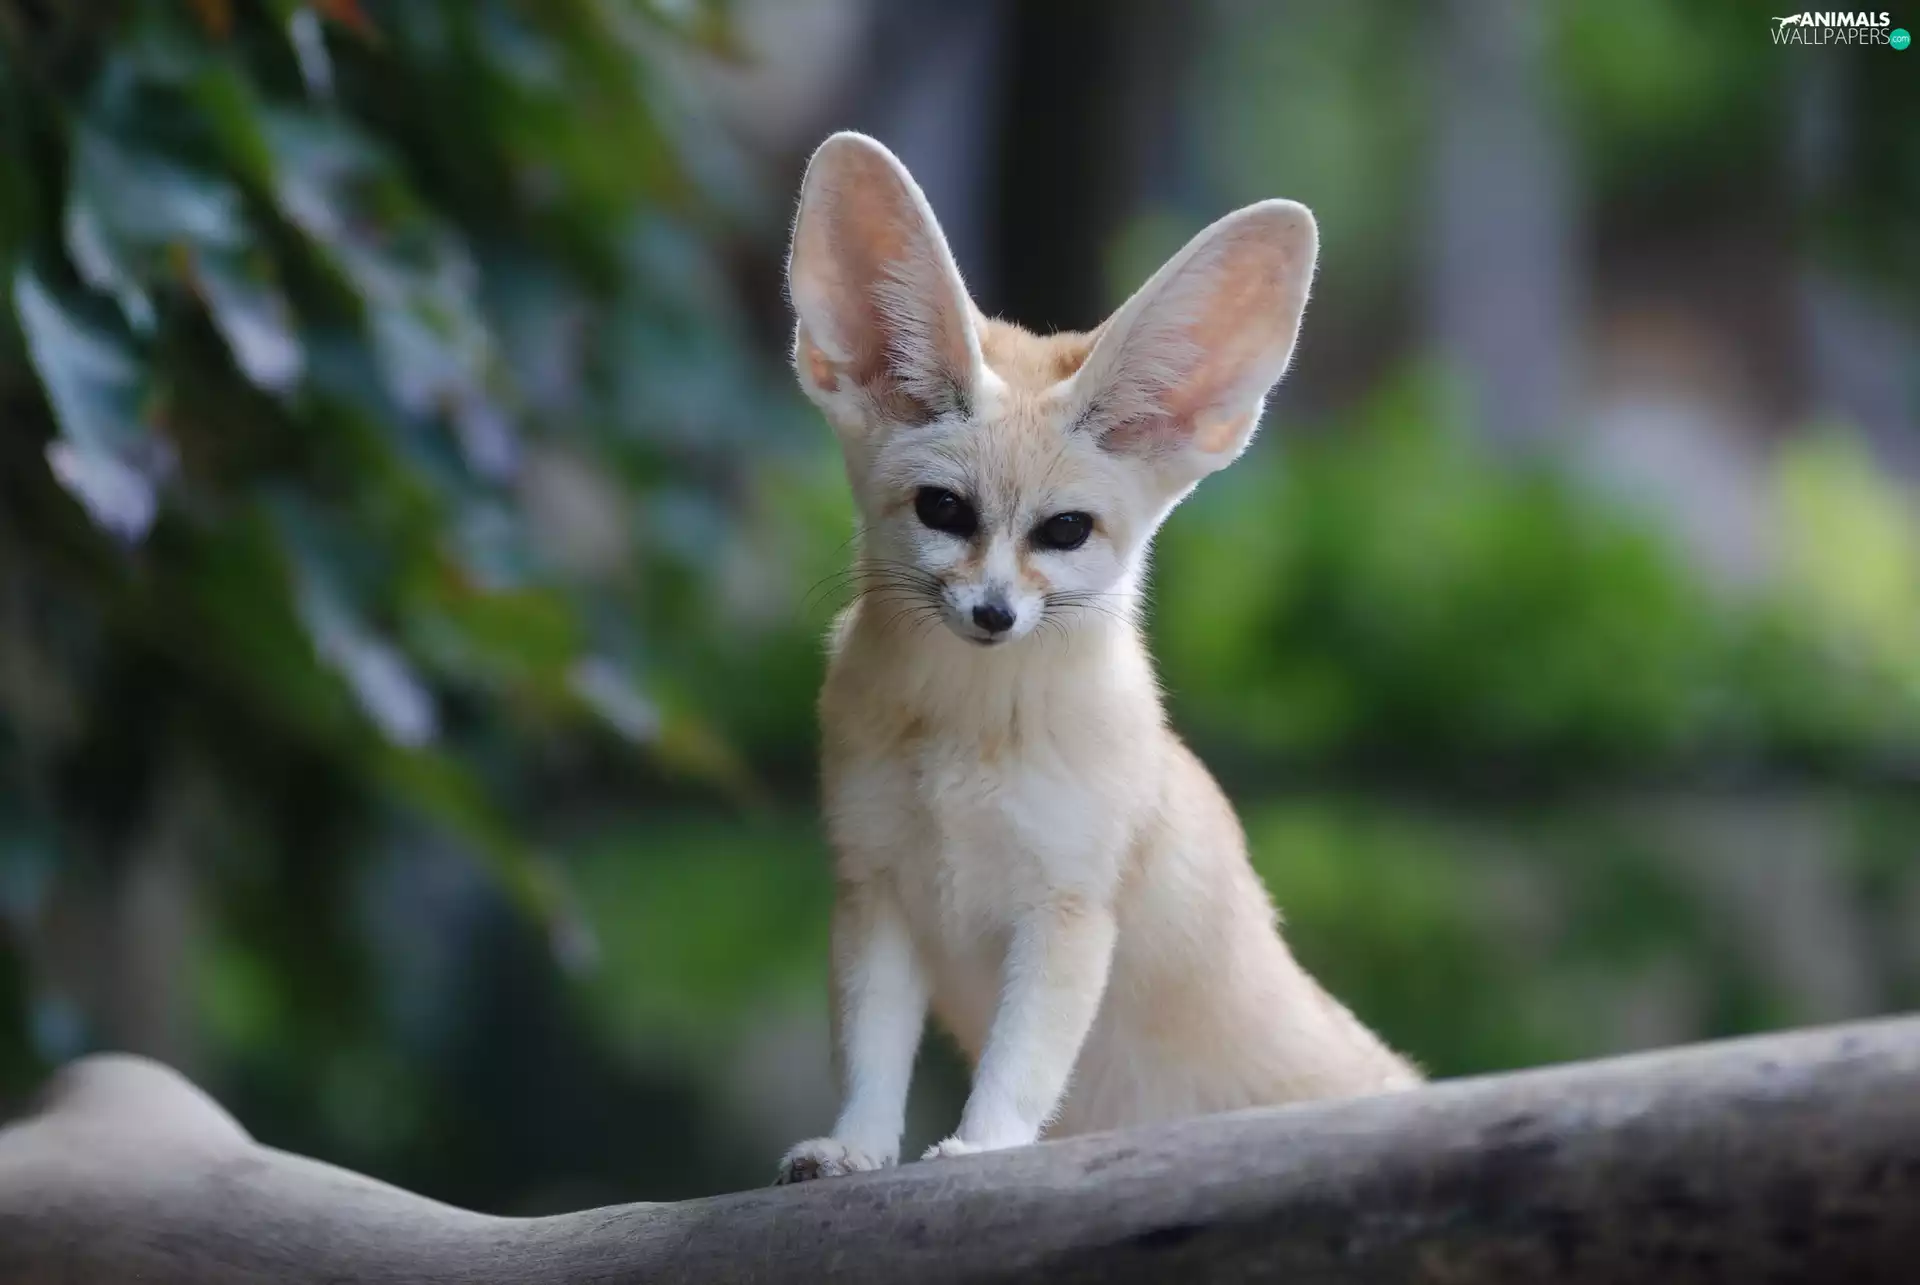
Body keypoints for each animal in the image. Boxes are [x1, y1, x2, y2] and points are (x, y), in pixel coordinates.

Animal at [775, 132, 1419, 1184]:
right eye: (943, 510)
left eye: (1065, 530)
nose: (994, 612)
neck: (964, 744)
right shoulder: (876, 892)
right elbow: (870, 1055)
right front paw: (855, 1148)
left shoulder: (1069, 910)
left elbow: (1022, 1060)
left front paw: (980, 1147)